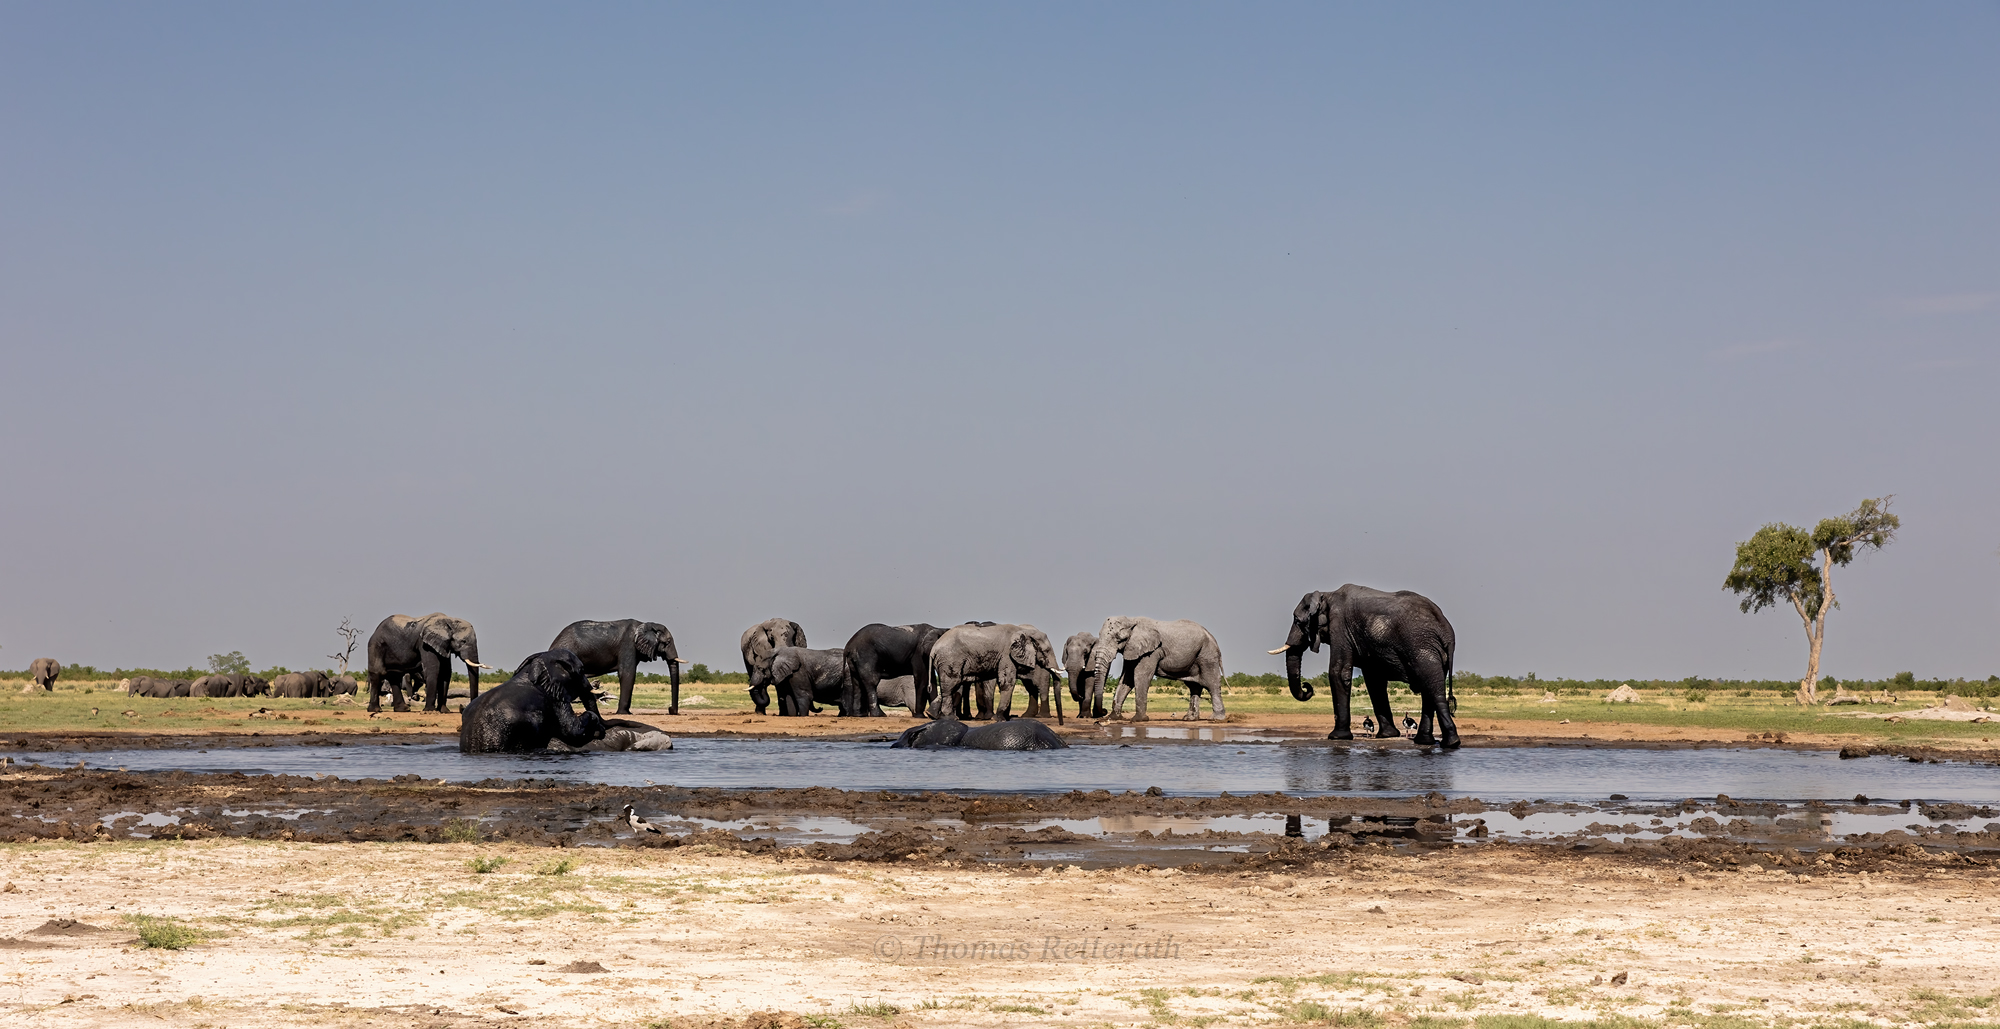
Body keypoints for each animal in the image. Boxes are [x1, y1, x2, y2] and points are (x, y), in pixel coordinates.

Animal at [552, 616, 692, 712]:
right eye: (667, 642)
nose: (670, 710)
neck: (645, 625)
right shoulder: (628, 645)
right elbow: (627, 673)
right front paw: (623, 713)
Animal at [932, 616, 1072, 720]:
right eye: (1046, 651)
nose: (1061, 723)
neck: (1024, 632)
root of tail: (934, 649)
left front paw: (999, 718)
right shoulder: (1006, 655)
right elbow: (1006, 682)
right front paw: (999, 719)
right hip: (949, 660)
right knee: (951, 685)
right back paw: (950, 718)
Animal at [1088, 612, 1224, 716]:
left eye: (1119, 639)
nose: (1104, 711)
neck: (1132, 621)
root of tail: (1212, 637)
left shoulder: (1152, 651)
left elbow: (1141, 676)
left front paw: (1139, 719)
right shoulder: (1133, 649)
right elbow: (1127, 679)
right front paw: (1114, 718)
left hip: (1207, 654)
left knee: (1211, 683)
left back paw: (1216, 718)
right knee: (1194, 686)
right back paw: (1190, 718)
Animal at [1272, 584, 1464, 744]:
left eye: (1297, 621)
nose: (1307, 687)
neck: (1327, 595)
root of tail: (1447, 632)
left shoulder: (1340, 628)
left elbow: (1338, 672)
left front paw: (1337, 737)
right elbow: (1374, 681)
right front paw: (1387, 735)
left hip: (1421, 647)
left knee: (1433, 688)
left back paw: (1450, 743)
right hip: (1431, 650)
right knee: (1428, 688)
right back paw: (1424, 742)